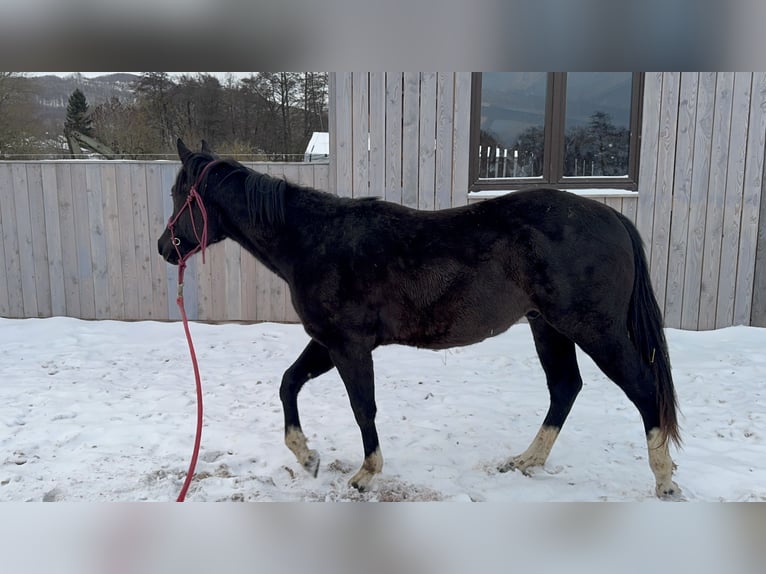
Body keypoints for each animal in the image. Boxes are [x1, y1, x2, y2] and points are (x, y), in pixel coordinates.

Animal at [158, 139, 681, 499]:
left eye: (180, 193)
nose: (166, 247)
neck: (313, 239)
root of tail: (614, 219)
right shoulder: (327, 342)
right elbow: (289, 383)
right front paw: (308, 458)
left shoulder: (348, 346)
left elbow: (363, 407)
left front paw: (366, 474)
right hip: (548, 327)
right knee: (565, 387)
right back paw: (526, 461)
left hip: (595, 330)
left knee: (642, 387)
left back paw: (664, 481)